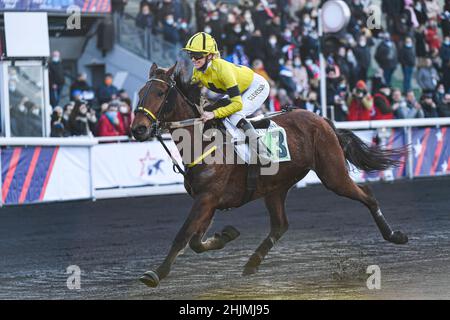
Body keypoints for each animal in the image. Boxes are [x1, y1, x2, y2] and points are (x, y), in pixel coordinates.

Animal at [130, 62, 408, 288]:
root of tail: (321, 119)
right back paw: (251, 263)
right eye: (141, 92)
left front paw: (155, 274)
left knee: (368, 195)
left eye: (159, 93)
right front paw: (227, 234)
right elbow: (196, 241)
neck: (203, 141)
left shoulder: (207, 198)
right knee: (280, 225)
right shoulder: (207, 200)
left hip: (333, 174)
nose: (138, 129)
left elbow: (183, 236)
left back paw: (395, 235)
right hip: (276, 187)